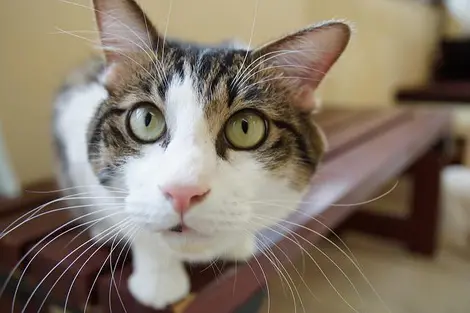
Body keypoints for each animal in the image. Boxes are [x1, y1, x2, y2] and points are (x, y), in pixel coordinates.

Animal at [52, 0, 348, 308]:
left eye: (246, 127)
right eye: (146, 120)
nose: (183, 192)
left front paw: (238, 243)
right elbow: (138, 225)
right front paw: (159, 281)